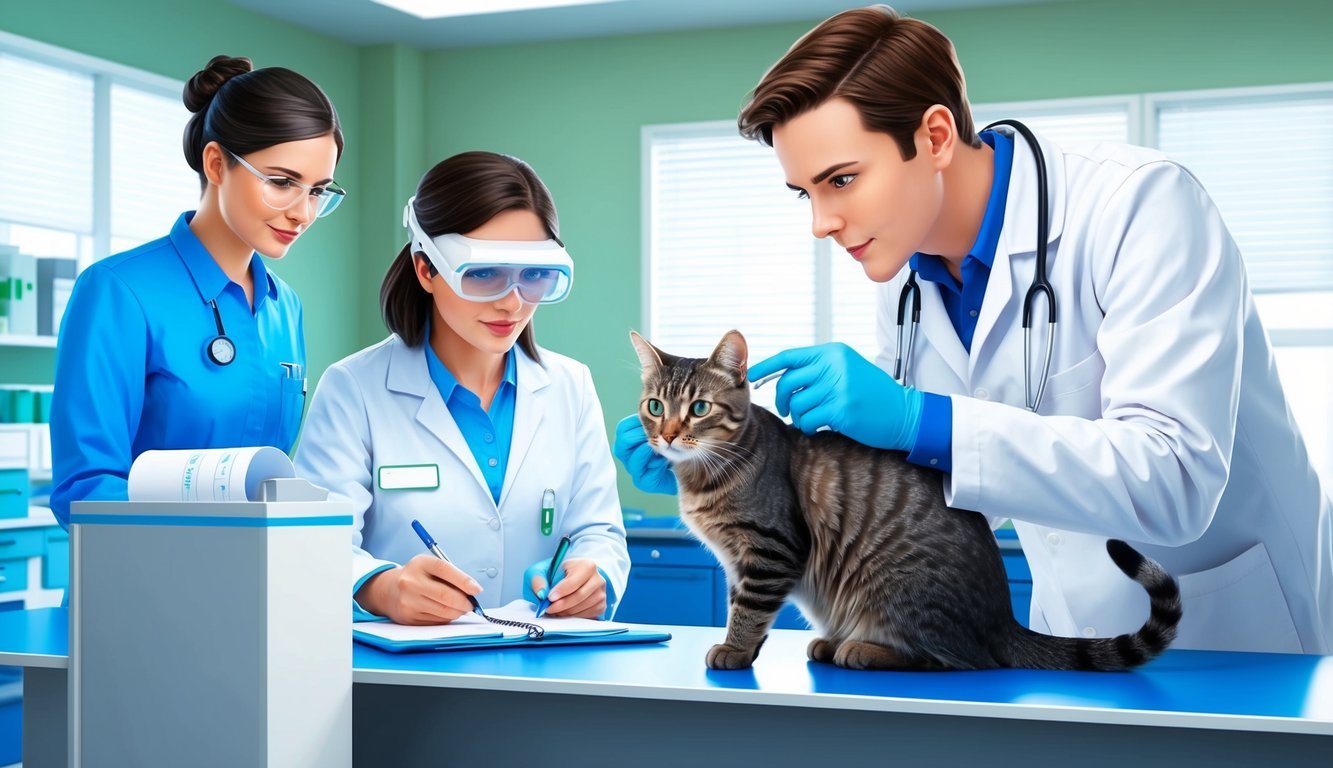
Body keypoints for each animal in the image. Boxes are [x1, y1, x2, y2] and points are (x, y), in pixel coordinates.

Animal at [629, 330, 1183, 672]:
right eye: (654, 406)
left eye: (700, 408)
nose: (669, 435)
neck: (704, 474)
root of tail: (1002, 620)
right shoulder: (735, 562)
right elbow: (737, 601)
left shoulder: (770, 550)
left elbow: (747, 607)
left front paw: (736, 649)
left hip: (896, 587)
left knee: (957, 659)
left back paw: (862, 650)